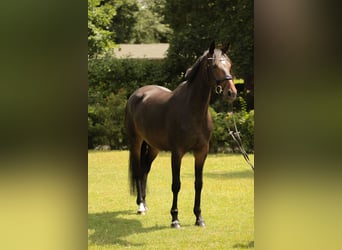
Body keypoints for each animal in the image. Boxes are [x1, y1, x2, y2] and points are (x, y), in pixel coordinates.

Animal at [125, 41, 238, 229]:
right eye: (214, 66)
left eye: (229, 65)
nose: (231, 93)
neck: (193, 110)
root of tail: (137, 94)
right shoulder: (177, 153)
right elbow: (176, 184)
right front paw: (175, 219)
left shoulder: (201, 152)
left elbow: (198, 184)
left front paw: (199, 218)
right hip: (136, 142)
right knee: (139, 171)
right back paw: (140, 206)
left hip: (154, 147)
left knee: (145, 170)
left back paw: (145, 204)